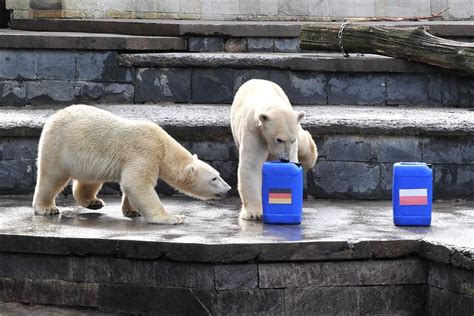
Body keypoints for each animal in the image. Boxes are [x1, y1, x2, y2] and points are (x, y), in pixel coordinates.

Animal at [32, 105, 231, 223]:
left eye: (219, 175)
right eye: (214, 178)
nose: (229, 189)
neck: (163, 146)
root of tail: (53, 117)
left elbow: (131, 185)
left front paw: (131, 211)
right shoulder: (146, 151)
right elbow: (138, 184)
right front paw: (172, 217)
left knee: (90, 180)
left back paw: (93, 202)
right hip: (59, 145)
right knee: (51, 176)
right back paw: (47, 208)